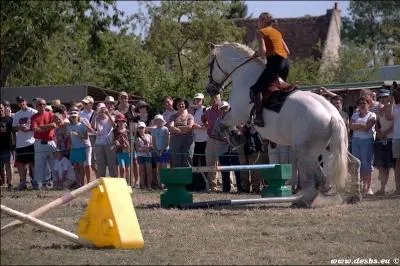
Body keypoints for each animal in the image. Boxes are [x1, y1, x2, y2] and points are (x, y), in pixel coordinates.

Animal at [206, 42, 362, 208]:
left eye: (210, 64)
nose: (210, 89)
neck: (245, 76)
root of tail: (333, 116)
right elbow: (224, 121)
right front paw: (236, 137)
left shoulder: (236, 113)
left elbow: (222, 121)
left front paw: (234, 138)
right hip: (333, 147)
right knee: (354, 164)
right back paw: (354, 196)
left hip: (305, 151)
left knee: (318, 177)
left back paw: (302, 201)